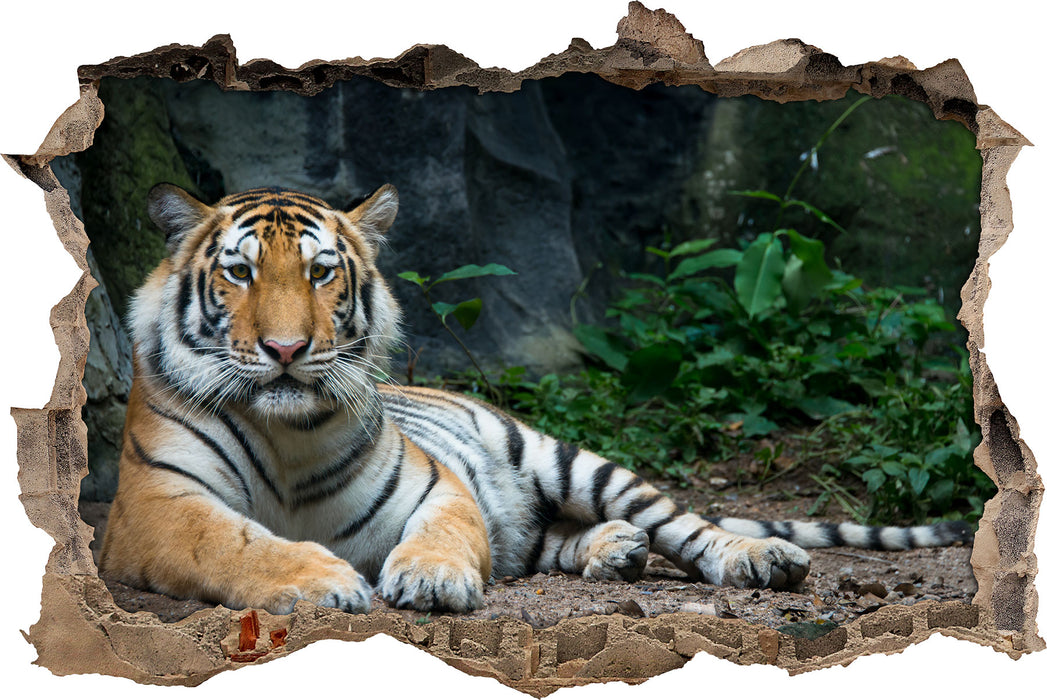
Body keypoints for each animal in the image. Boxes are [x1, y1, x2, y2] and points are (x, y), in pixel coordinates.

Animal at [98, 183, 973, 615]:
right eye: (240, 273)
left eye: (319, 273)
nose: (285, 351)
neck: (287, 435)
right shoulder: (155, 507)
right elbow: (235, 543)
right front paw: (322, 581)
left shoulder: (434, 485)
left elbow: (446, 533)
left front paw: (430, 581)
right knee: (541, 538)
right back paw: (614, 551)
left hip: (566, 458)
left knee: (684, 524)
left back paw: (752, 557)